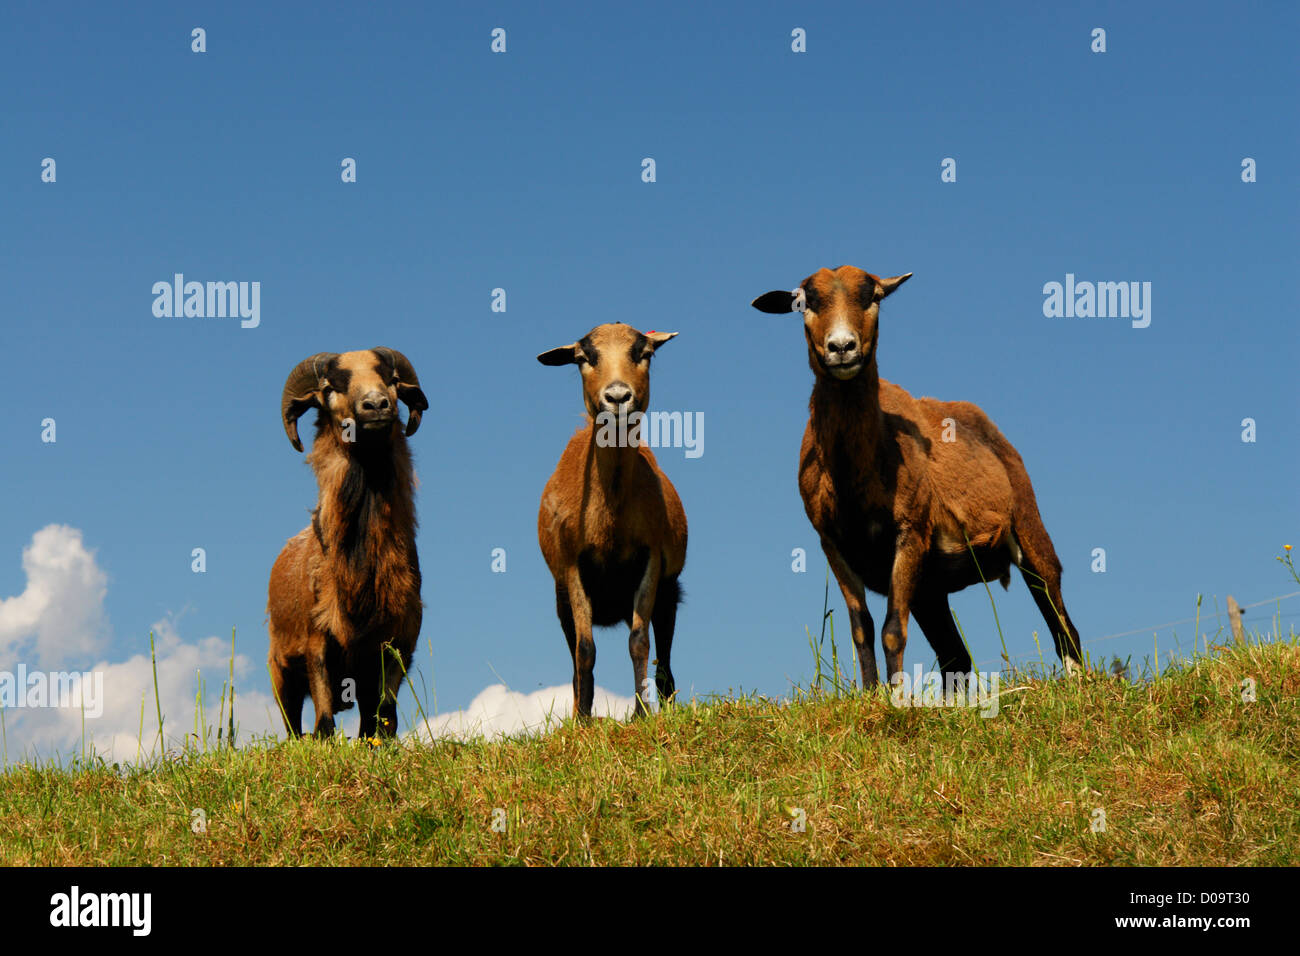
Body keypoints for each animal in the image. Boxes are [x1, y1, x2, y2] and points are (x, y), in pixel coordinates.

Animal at [266, 348, 428, 738]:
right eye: (329, 387)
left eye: (392, 379)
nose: (376, 404)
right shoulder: (317, 641)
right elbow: (324, 718)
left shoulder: (398, 644)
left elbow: (383, 718)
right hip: (280, 670)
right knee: (292, 723)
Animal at [535, 321, 691, 717]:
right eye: (583, 357)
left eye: (644, 353)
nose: (618, 396)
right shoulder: (572, 566)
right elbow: (584, 649)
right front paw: (583, 719)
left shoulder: (651, 558)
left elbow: (639, 641)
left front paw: (640, 713)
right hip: (561, 599)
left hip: (669, 590)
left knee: (664, 657)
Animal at [759, 267, 1081, 686]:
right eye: (805, 302)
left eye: (874, 297)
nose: (842, 347)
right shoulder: (832, 543)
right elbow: (861, 629)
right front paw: (872, 693)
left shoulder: (910, 530)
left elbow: (892, 630)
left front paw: (896, 695)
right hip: (930, 586)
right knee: (955, 656)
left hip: (1028, 526)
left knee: (1063, 625)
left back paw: (1079, 683)